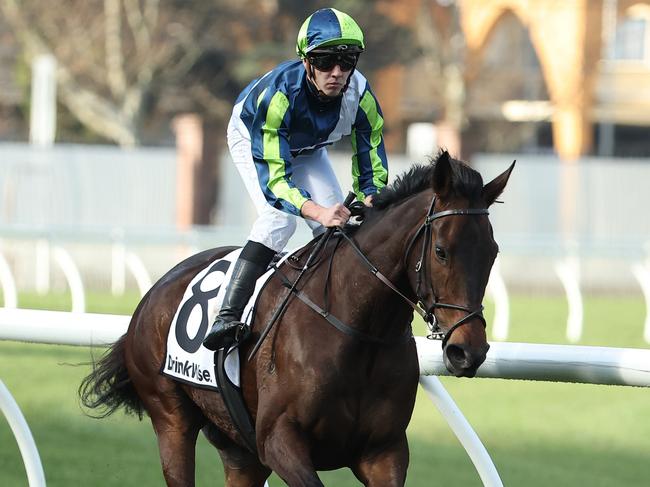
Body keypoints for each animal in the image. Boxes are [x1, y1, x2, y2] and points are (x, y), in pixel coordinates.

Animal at [78, 151, 512, 486]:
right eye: (441, 251)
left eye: (492, 251)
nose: (467, 351)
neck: (360, 331)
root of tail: (154, 292)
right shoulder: (279, 441)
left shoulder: (383, 450)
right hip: (171, 419)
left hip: (238, 447)